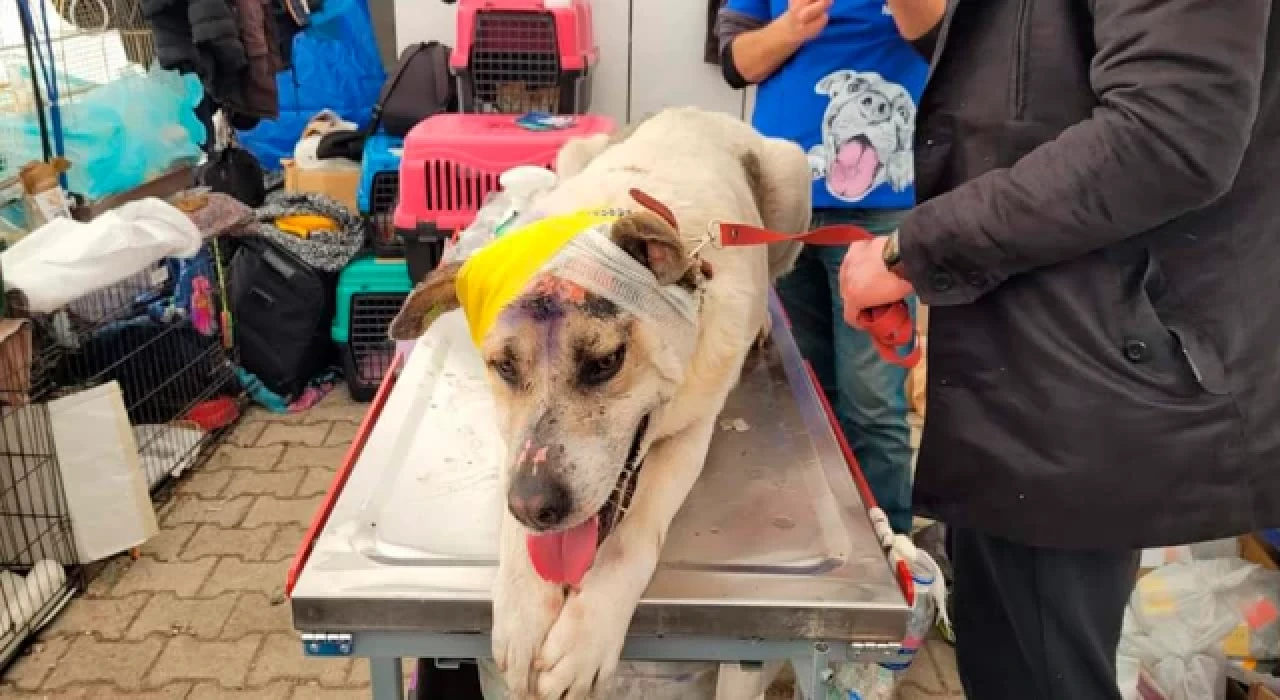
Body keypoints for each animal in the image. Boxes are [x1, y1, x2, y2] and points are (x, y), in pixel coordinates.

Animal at [388, 107, 812, 699]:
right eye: (504, 367)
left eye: (606, 361)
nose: (536, 507)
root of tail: (696, 110)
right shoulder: (515, 446)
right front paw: (522, 609)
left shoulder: (691, 432)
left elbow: (632, 534)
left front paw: (586, 636)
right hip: (572, 154)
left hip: (792, 172)